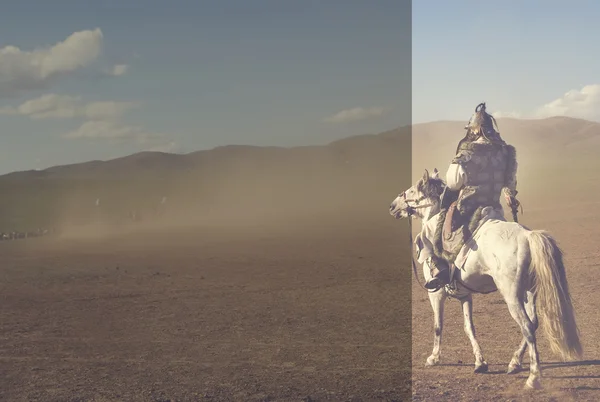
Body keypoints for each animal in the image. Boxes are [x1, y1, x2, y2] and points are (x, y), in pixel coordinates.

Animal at [390, 167, 580, 390]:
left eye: (412, 190)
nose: (393, 206)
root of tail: (527, 236)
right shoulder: (464, 295)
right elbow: (469, 327)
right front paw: (480, 362)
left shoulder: (435, 294)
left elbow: (438, 325)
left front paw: (433, 358)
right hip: (529, 291)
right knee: (533, 323)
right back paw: (514, 363)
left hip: (512, 295)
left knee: (526, 326)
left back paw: (533, 378)